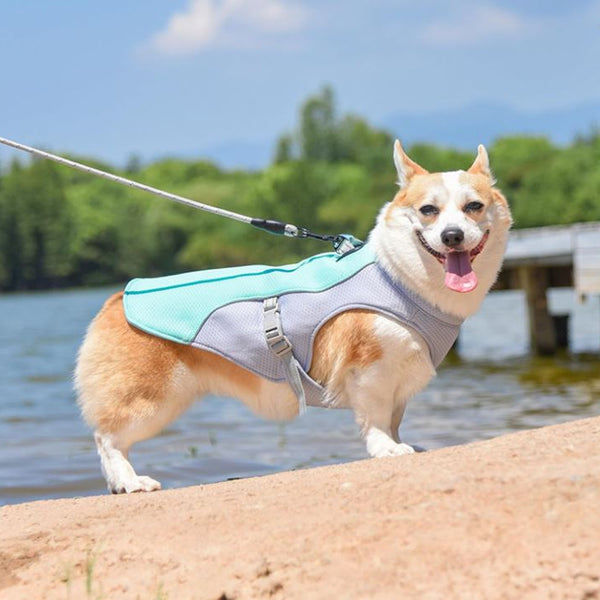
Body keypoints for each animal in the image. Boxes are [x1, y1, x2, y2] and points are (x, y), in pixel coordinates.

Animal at [74, 141, 510, 492]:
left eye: (474, 206)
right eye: (428, 210)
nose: (453, 236)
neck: (397, 279)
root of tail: (118, 296)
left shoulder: (401, 378)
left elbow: (394, 417)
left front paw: (404, 443)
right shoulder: (369, 372)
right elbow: (376, 418)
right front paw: (386, 449)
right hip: (151, 401)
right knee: (108, 438)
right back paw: (130, 481)